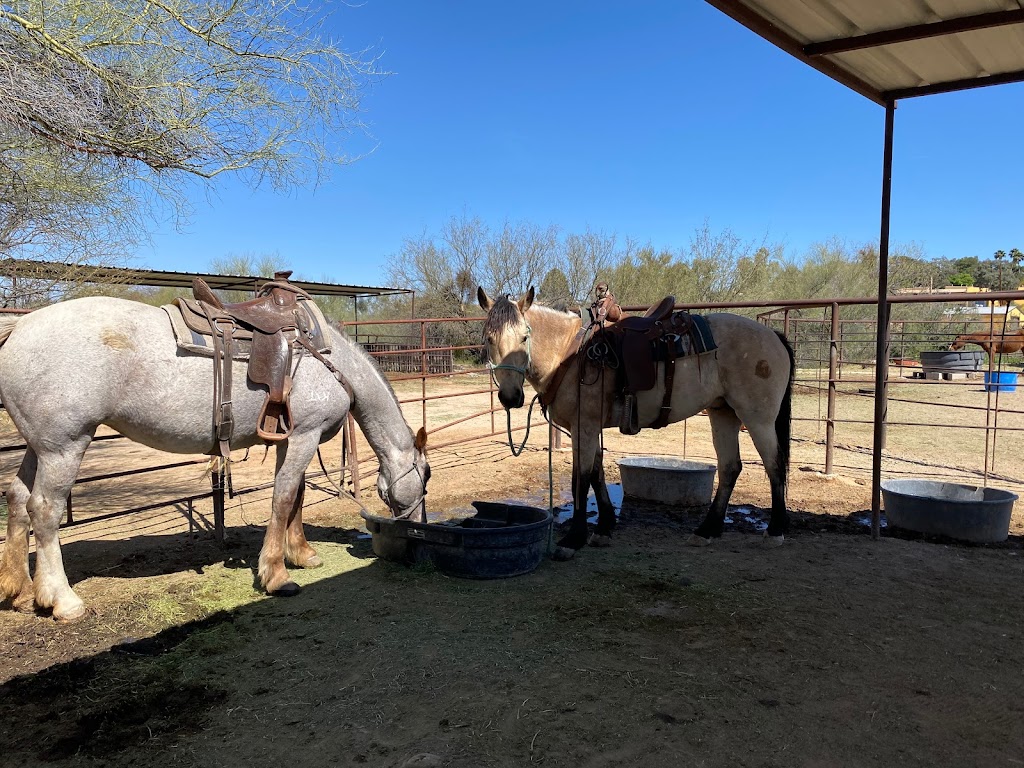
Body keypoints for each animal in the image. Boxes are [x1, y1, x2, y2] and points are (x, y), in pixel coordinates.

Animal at [0, 290, 428, 622]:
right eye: (425, 477)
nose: (416, 526)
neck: (330, 359)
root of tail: (19, 328)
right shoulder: (304, 435)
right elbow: (284, 497)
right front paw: (276, 575)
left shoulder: (290, 439)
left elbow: (297, 496)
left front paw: (302, 554)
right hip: (65, 446)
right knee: (45, 509)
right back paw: (62, 599)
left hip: (40, 446)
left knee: (18, 499)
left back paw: (20, 591)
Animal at [475, 286, 794, 561]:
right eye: (489, 339)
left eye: (524, 338)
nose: (510, 397)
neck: (569, 354)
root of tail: (772, 335)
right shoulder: (588, 428)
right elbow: (596, 473)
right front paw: (604, 527)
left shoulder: (584, 426)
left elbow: (581, 478)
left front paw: (574, 539)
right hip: (723, 413)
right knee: (730, 468)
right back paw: (707, 530)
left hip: (757, 418)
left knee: (774, 465)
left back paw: (775, 531)